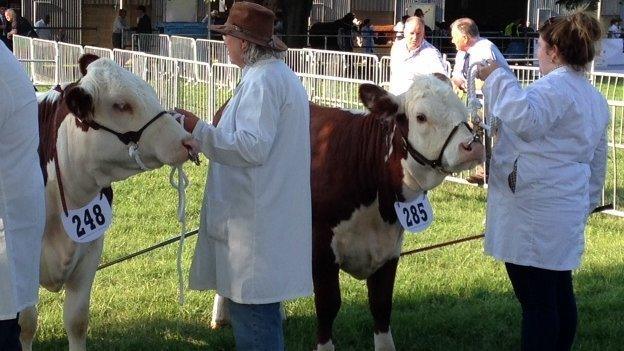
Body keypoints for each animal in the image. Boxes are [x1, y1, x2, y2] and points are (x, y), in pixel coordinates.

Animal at [210, 73, 482, 350]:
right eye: (421, 117)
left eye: (463, 111)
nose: (472, 146)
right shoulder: (320, 250)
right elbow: (328, 306)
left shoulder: (390, 249)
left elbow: (381, 306)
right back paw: (220, 315)